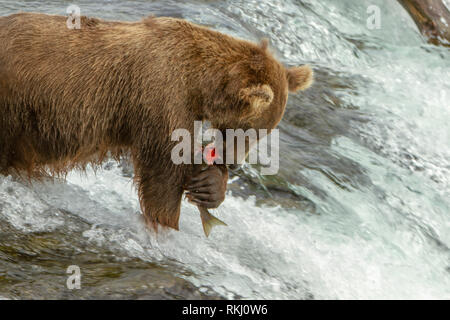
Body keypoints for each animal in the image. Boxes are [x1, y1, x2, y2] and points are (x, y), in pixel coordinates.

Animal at [0, 13, 312, 230]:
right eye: (250, 132)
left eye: (263, 134)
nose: (234, 163)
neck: (199, 85)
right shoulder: (160, 97)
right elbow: (164, 174)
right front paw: (166, 222)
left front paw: (211, 187)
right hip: (16, 105)